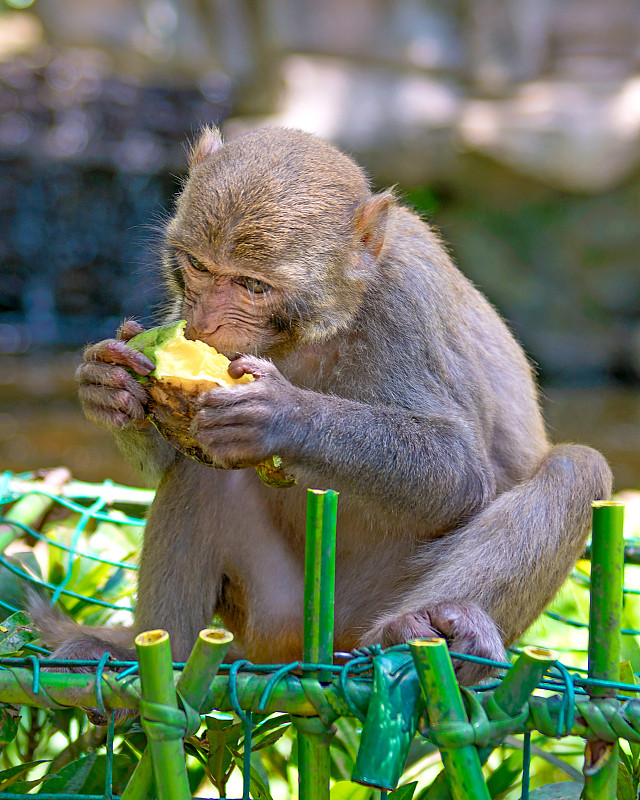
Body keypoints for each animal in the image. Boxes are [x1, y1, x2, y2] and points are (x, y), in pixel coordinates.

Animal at [31, 125, 616, 688]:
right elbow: (171, 452)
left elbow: (461, 475)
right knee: (202, 475)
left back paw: (418, 631)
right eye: (198, 266)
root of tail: (313, 651)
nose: (206, 325)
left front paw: (281, 415)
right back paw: (155, 655)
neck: (311, 328)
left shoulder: (406, 304)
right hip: (274, 615)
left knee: (576, 470)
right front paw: (108, 384)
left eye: (253, 285)